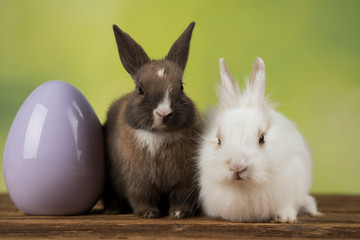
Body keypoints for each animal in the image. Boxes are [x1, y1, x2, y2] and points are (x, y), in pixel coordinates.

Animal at [102, 21, 201, 218]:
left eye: (181, 87)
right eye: (140, 89)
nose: (164, 113)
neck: (159, 135)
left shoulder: (186, 180)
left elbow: (181, 196)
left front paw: (179, 213)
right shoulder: (137, 181)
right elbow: (142, 196)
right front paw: (149, 213)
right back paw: (114, 209)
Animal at [197, 57, 318, 222]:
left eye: (262, 138)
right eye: (218, 140)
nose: (237, 166)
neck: (245, 186)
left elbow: (287, 206)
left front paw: (286, 218)